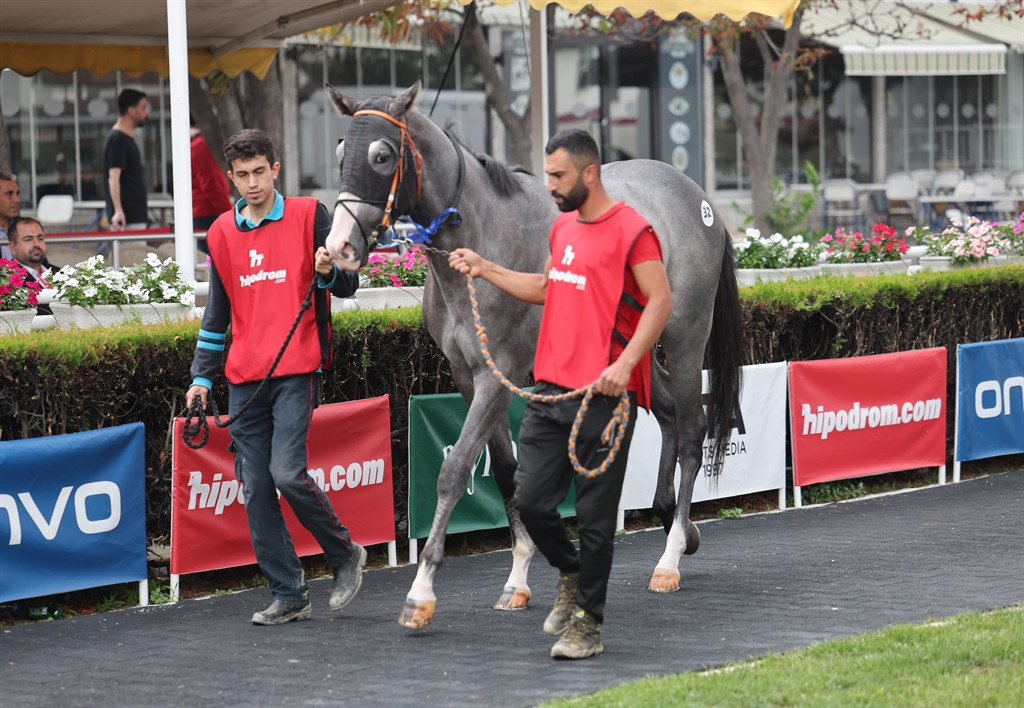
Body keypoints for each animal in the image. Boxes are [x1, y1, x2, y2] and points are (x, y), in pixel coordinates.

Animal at [323, 80, 741, 627]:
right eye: (339, 153)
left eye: (381, 154)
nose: (340, 247)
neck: (483, 234)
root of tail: (697, 196)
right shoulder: (469, 375)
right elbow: (505, 471)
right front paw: (517, 576)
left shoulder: (496, 374)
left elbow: (456, 469)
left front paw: (421, 590)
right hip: (631, 348)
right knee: (671, 413)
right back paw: (674, 520)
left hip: (685, 336)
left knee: (693, 431)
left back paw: (670, 556)